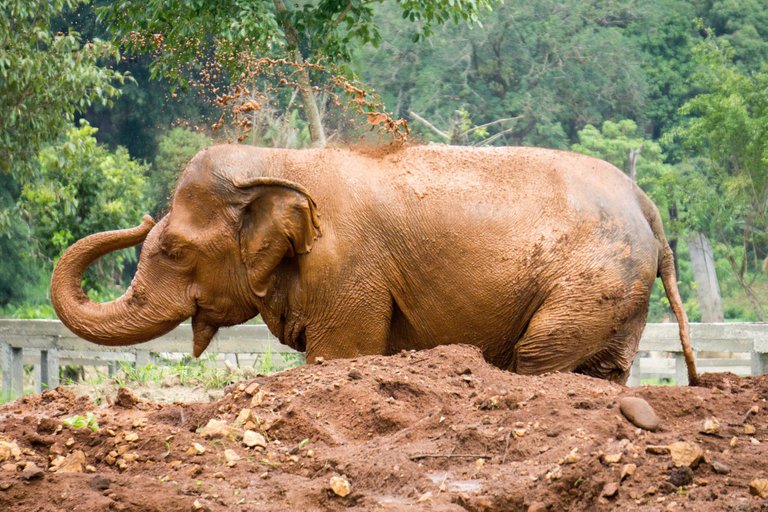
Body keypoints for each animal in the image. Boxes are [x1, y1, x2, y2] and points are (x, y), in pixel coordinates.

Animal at [46, 144, 696, 384]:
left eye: (176, 249)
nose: (141, 217)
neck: (285, 161)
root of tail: (647, 205)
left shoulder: (349, 267)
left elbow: (339, 356)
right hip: (620, 295)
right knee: (604, 370)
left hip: (593, 279)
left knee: (541, 359)